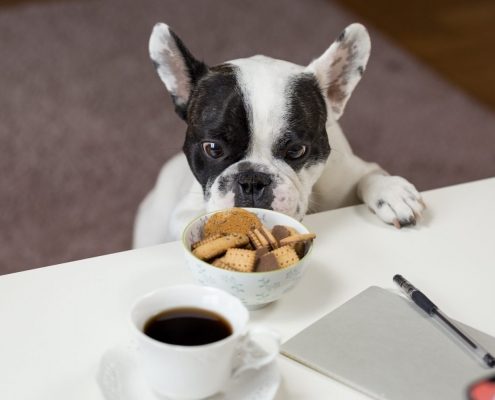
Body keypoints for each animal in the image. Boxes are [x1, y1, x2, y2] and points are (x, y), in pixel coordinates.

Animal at [133, 21, 426, 248]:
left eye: (296, 150)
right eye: (213, 149)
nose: (252, 180)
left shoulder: (349, 172)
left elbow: (370, 174)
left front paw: (392, 192)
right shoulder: (183, 211)